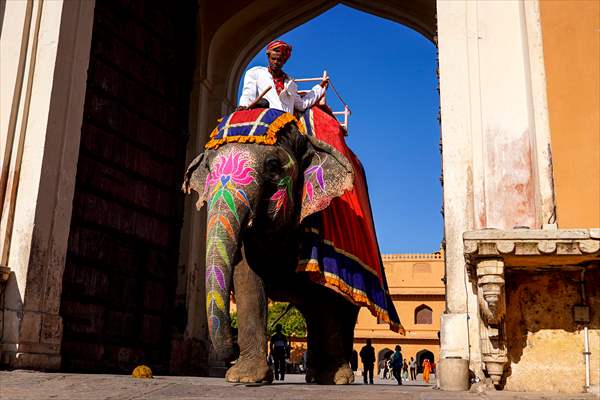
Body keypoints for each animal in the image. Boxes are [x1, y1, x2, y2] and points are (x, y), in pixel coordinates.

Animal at [180, 106, 400, 384]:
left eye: (273, 165)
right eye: (208, 167)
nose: (232, 348)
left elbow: (327, 294)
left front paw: (335, 378)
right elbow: (247, 281)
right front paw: (245, 377)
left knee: (342, 309)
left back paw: (337, 377)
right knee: (312, 312)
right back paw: (315, 376)